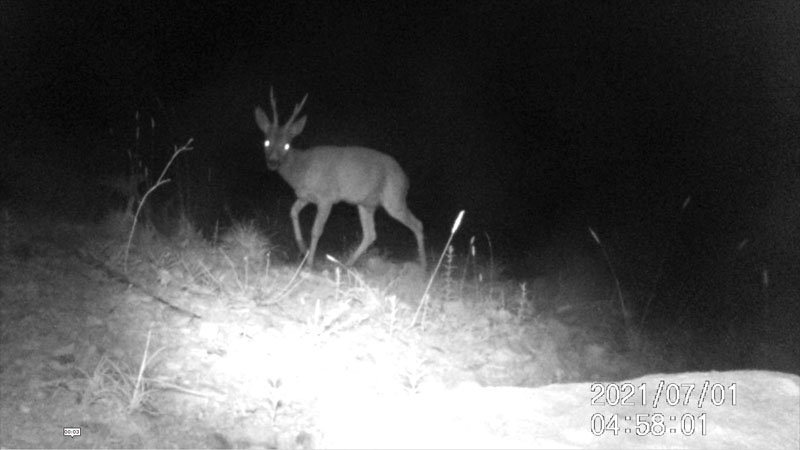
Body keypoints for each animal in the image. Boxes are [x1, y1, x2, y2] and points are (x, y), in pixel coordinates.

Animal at [256, 89, 428, 268]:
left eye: (286, 145)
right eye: (266, 142)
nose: (273, 162)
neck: (302, 169)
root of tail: (406, 179)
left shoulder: (327, 197)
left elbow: (316, 230)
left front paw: (309, 262)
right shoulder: (305, 196)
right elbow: (292, 212)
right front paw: (302, 248)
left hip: (394, 197)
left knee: (417, 224)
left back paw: (424, 266)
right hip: (366, 204)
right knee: (370, 234)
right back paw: (347, 263)